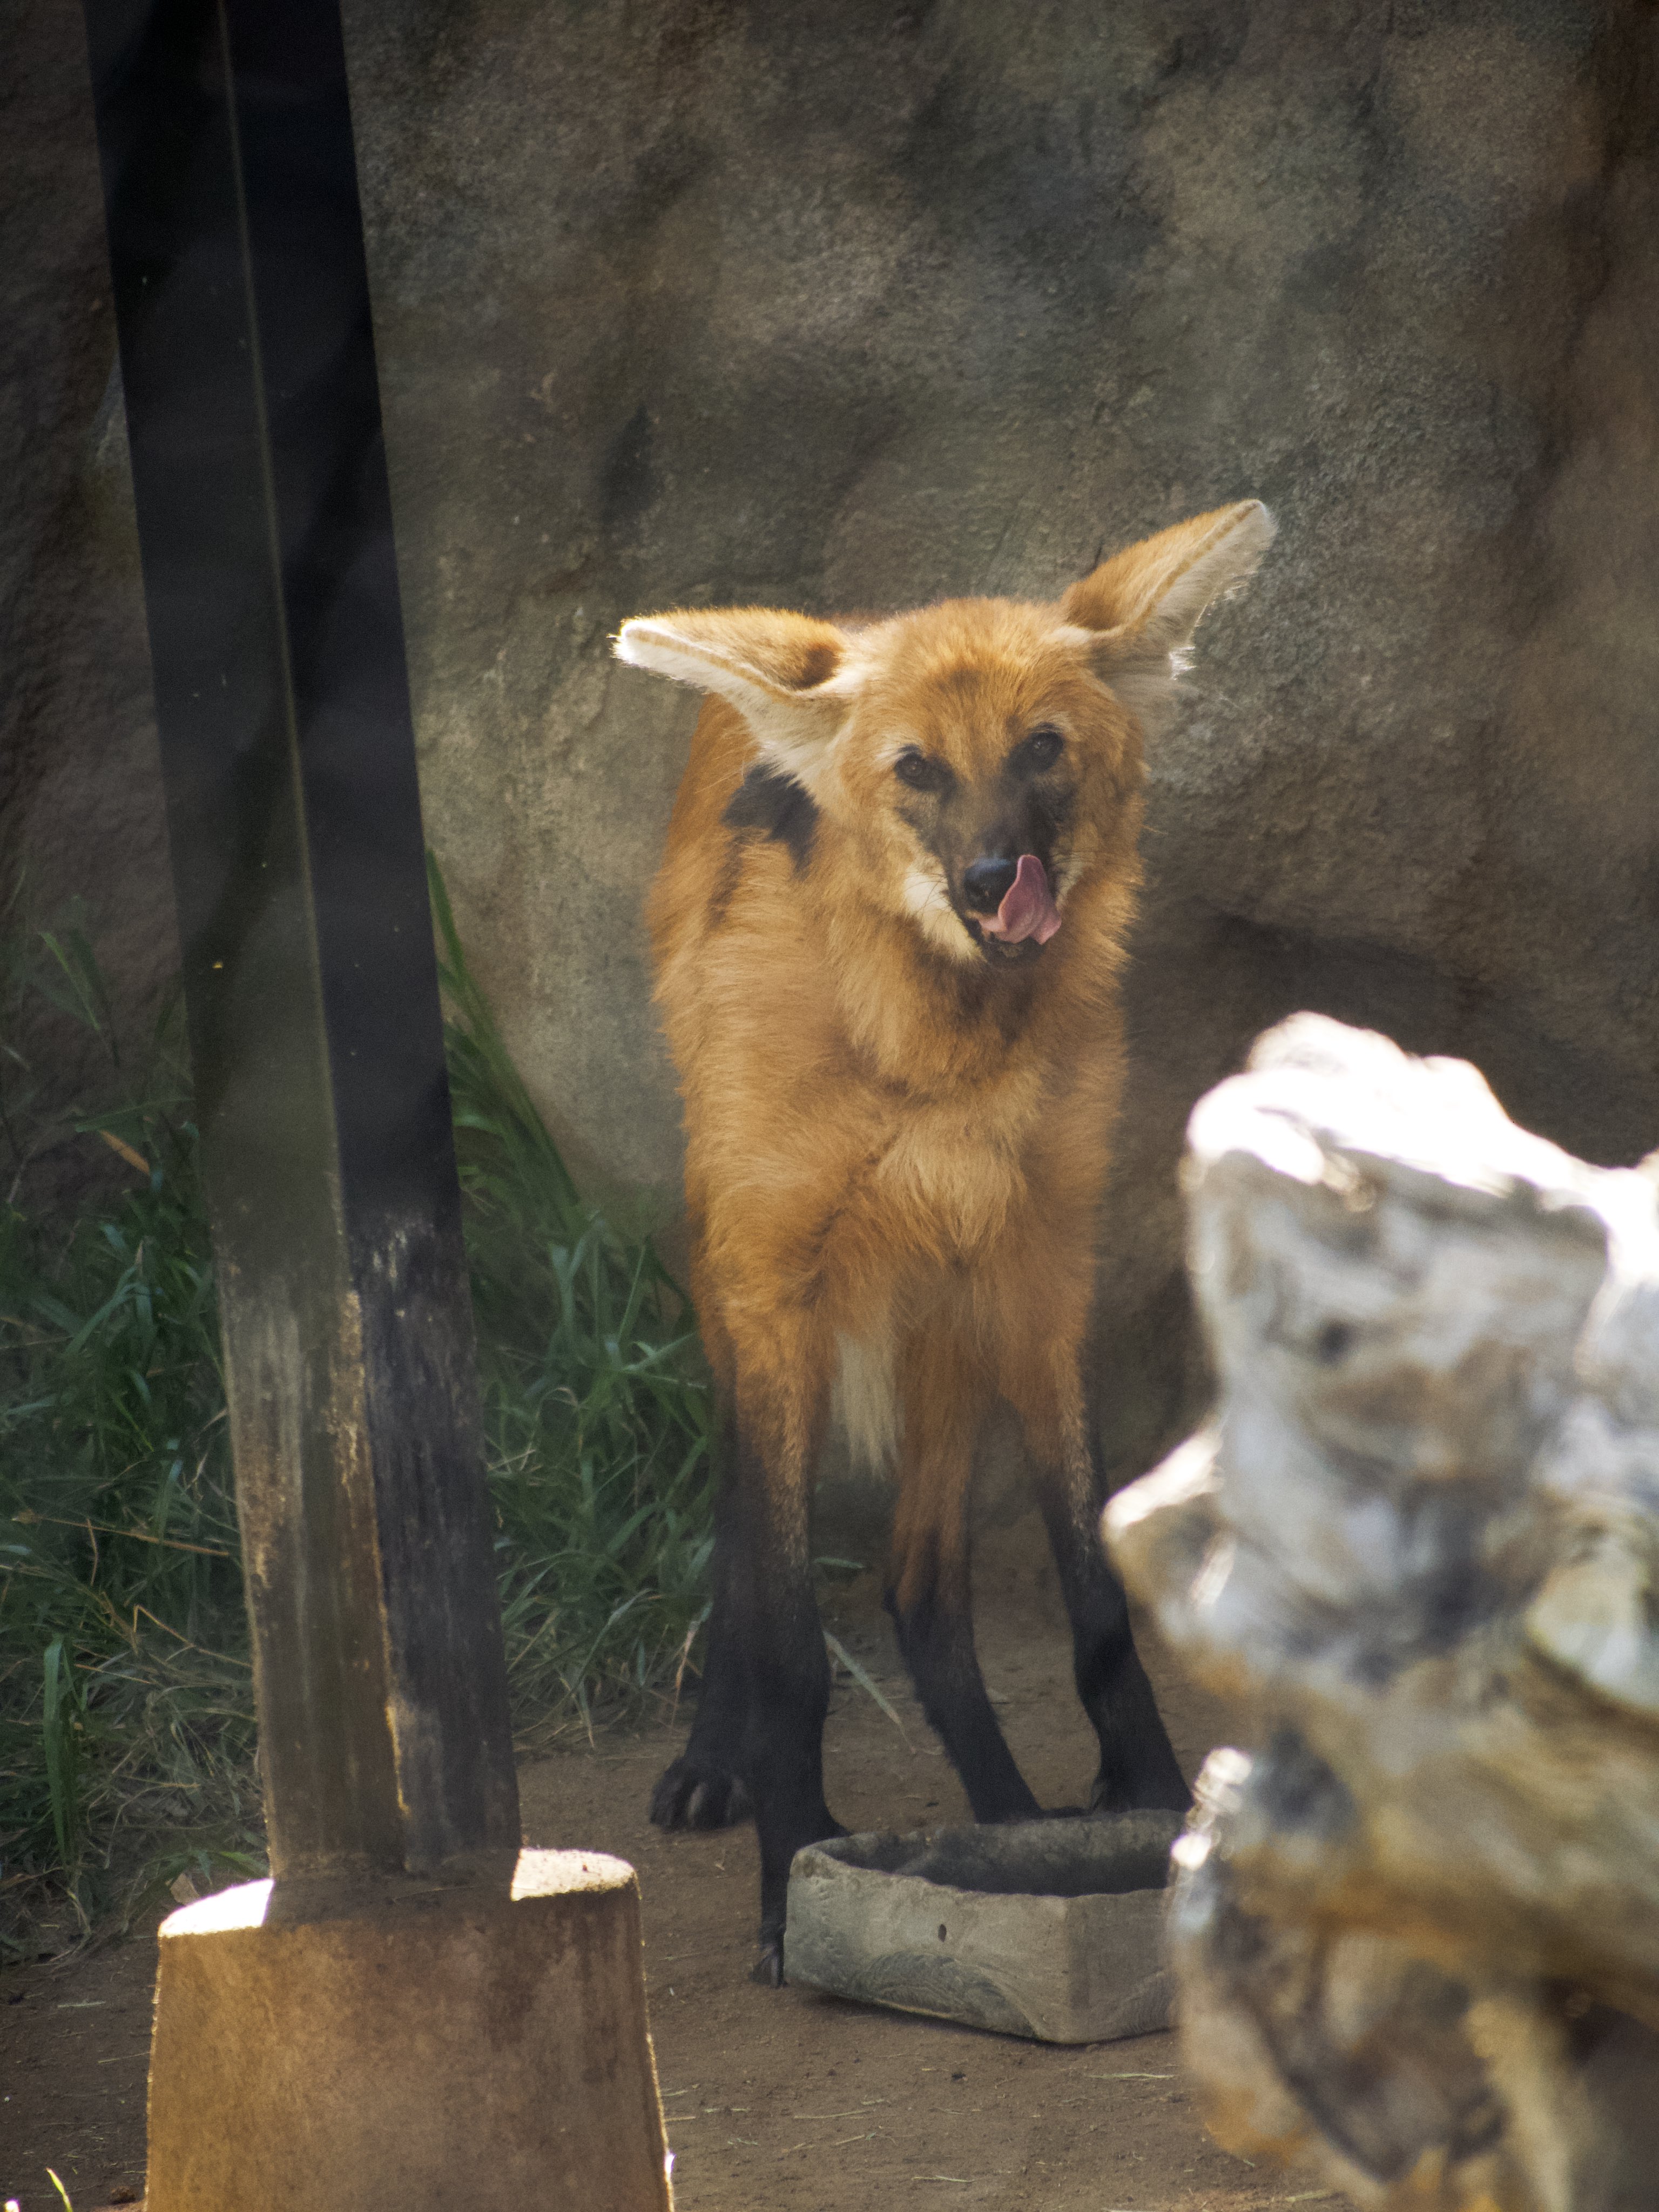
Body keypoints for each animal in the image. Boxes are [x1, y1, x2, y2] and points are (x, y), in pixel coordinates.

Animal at [614, 499, 1274, 1980]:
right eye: (915, 767)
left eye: (1041, 747)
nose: (991, 877)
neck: (933, 1062)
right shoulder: (783, 1283)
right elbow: (789, 1629)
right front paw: (792, 1876)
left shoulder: (1034, 1266)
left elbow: (1096, 1600)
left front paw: (1145, 1811)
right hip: (755, 1286)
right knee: (754, 1528)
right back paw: (724, 1764)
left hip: (944, 1311)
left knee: (924, 1586)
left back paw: (1005, 1813)